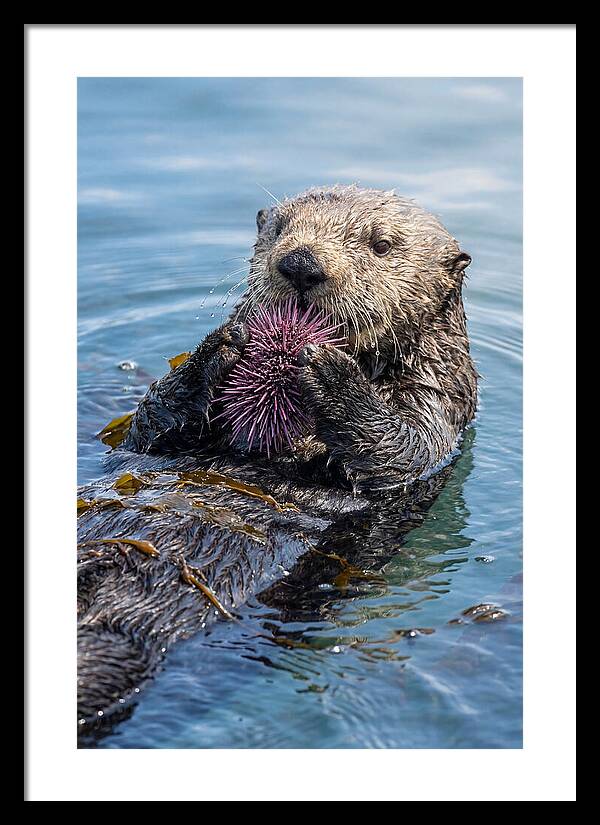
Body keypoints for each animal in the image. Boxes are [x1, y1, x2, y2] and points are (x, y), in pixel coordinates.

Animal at [77, 185, 478, 741]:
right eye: (280, 228)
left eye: (381, 245)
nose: (302, 263)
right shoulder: (150, 440)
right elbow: (147, 428)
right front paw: (219, 347)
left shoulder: (439, 405)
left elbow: (401, 450)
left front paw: (331, 373)